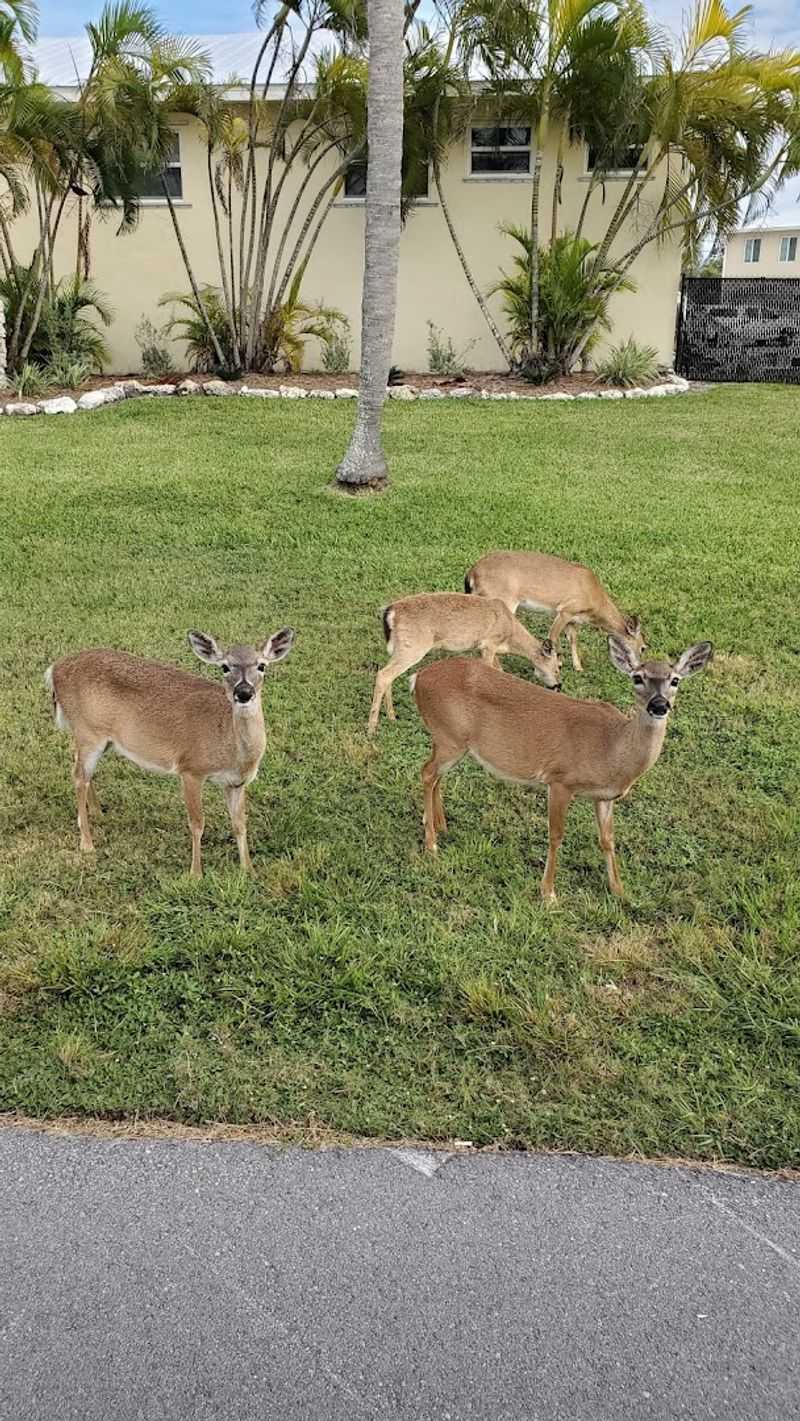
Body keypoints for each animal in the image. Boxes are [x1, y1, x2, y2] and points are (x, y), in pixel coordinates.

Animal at [45, 628, 295, 877]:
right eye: (225, 666)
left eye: (262, 665)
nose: (243, 692)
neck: (229, 746)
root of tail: (54, 670)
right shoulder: (191, 768)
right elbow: (197, 823)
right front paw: (196, 874)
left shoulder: (236, 782)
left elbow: (240, 824)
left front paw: (249, 870)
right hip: (88, 732)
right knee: (78, 777)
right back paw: (87, 844)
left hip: (98, 738)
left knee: (82, 771)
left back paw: (98, 812)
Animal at [368, 591, 562, 735]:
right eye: (558, 666)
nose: (558, 686)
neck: (510, 633)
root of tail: (390, 613)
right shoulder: (489, 644)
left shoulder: (483, 648)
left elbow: (500, 671)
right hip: (413, 647)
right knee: (383, 675)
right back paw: (372, 728)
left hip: (399, 648)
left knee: (388, 675)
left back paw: (392, 718)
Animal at [411, 635, 713, 902]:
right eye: (637, 677)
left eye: (675, 680)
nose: (659, 705)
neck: (612, 749)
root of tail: (418, 678)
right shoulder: (559, 780)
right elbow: (556, 835)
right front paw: (549, 893)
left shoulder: (604, 797)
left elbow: (607, 839)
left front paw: (619, 890)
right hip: (450, 737)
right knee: (427, 773)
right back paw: (431, 843)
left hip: (449, 740)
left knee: (435, 775)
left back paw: (440, 825)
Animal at [464, 550, 645, 674]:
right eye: (644, 647)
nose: (638, 666)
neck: (595, 599)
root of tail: (471, 573)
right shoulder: (565, 610)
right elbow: (553, 637)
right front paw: (557, 664)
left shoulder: (574, 619)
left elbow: (573, 640)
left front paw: (578, 667)